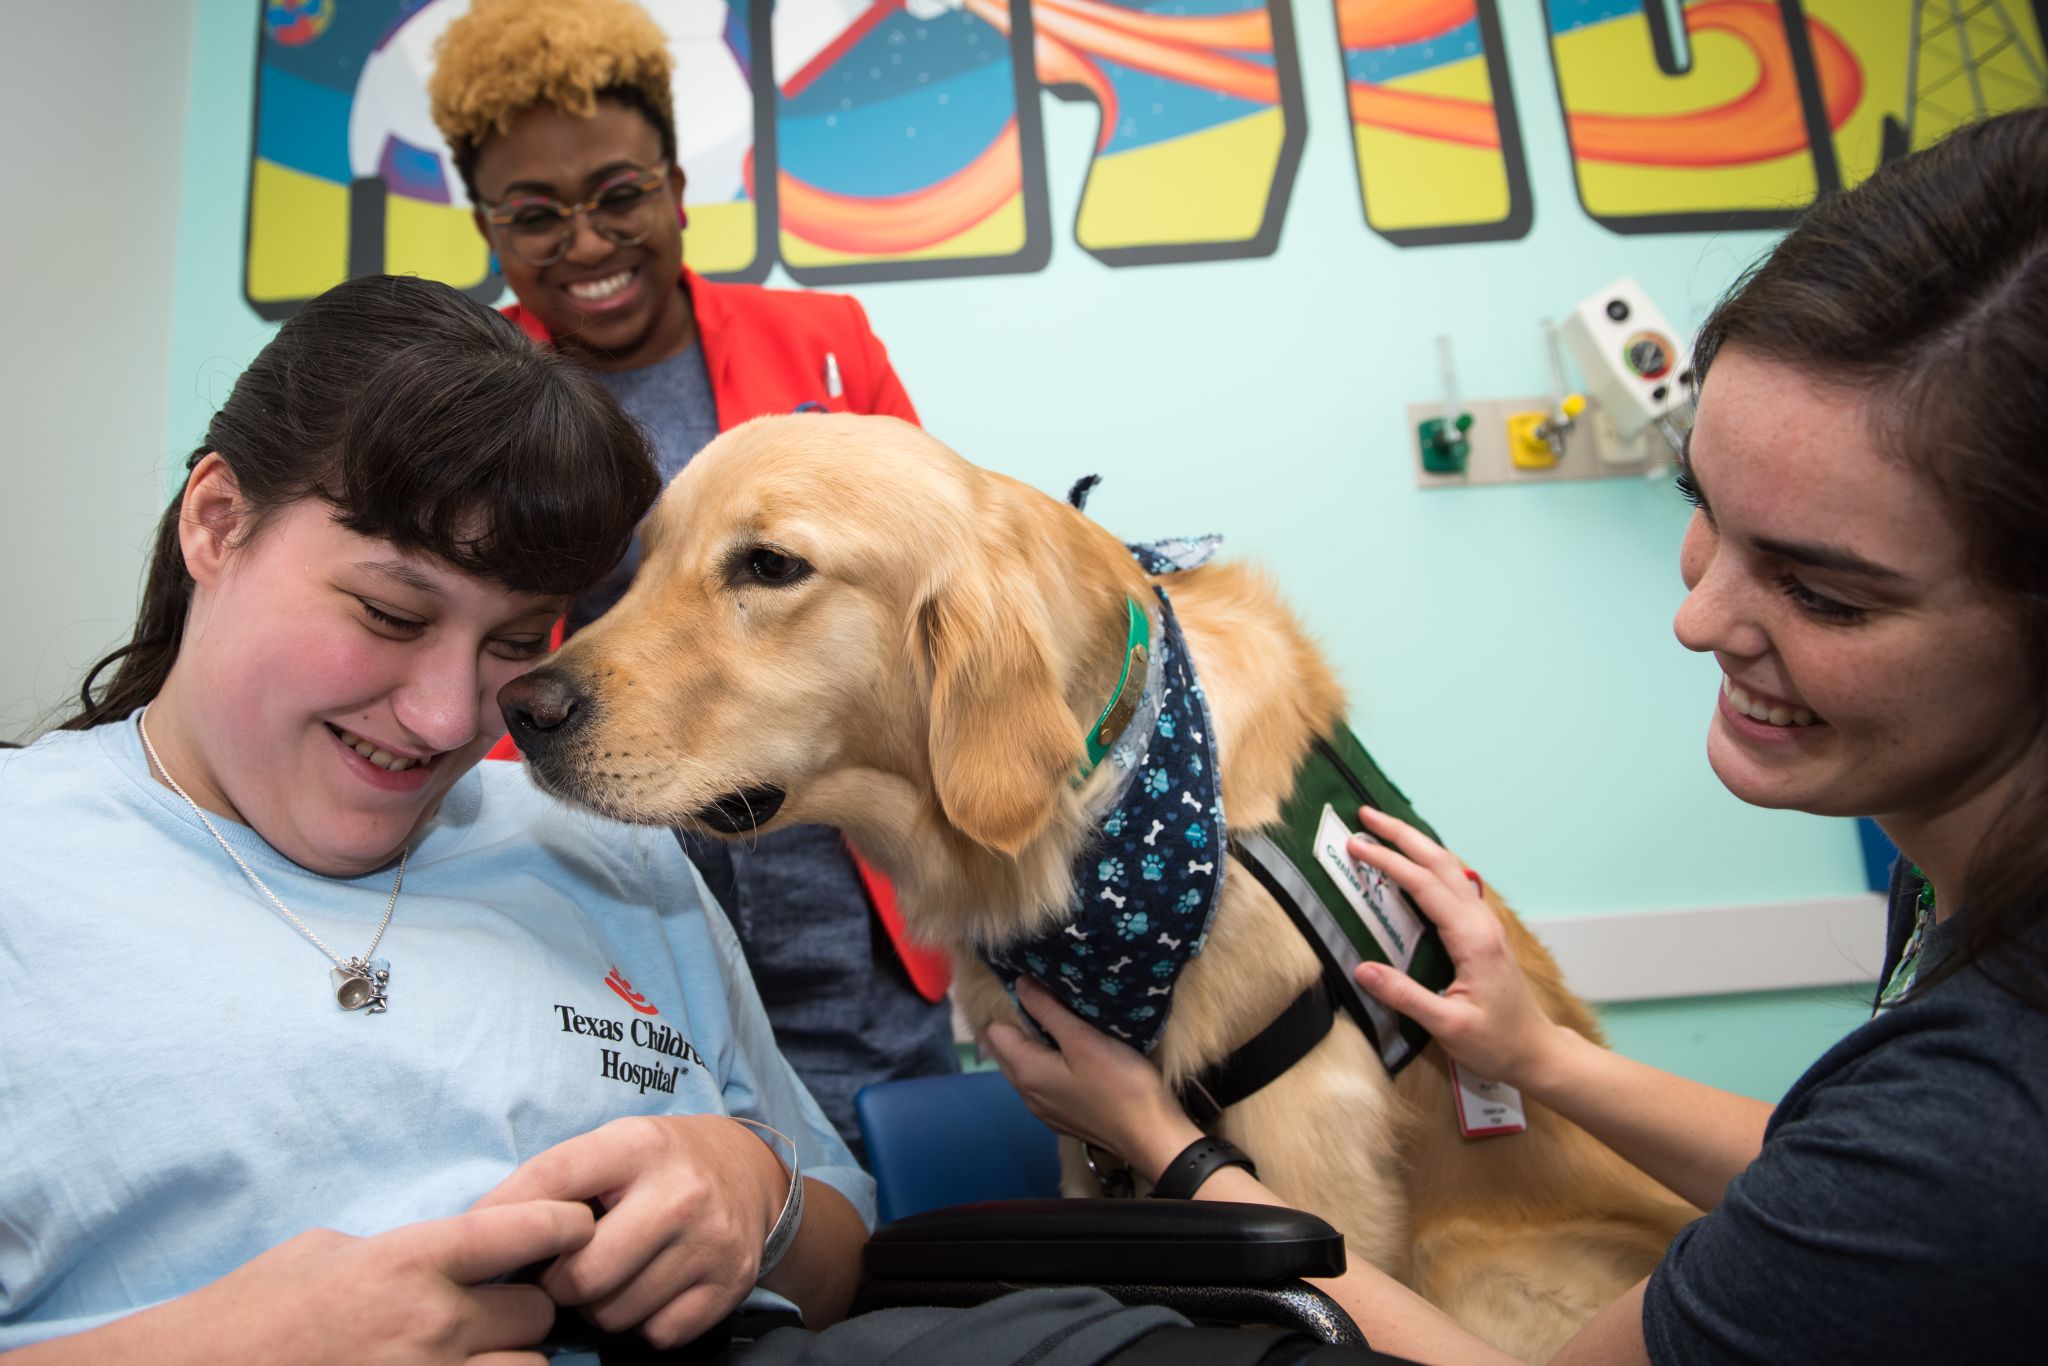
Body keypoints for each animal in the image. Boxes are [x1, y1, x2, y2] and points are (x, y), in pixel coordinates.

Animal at [507, 411, 1695, 1359]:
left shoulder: (1307, 1133)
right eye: (642, 561)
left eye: (768, 567)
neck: (1094, 818)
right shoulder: (1093, 1159)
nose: (524, 706)